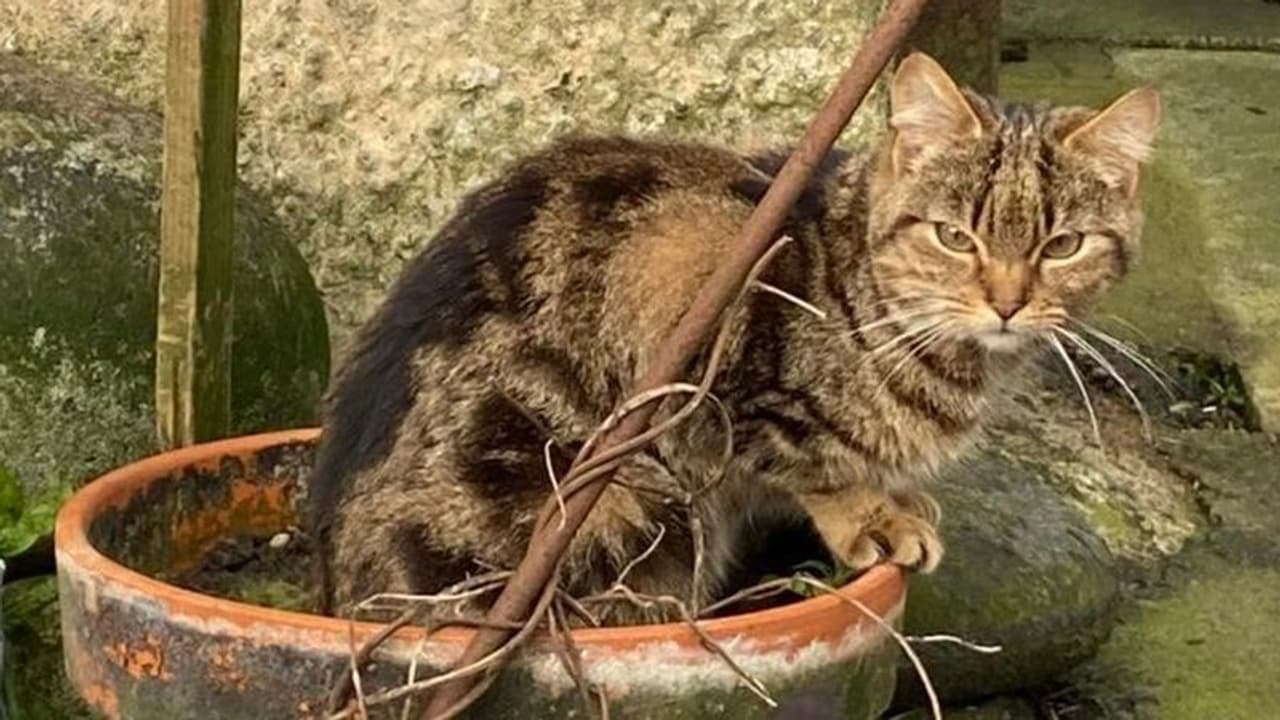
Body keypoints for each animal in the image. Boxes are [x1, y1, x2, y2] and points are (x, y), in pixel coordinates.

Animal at [308, 52, 1160, 622]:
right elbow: (814, 459)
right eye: (956, 237)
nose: (1008, 303)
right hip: (625, 504)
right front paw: (876, 517)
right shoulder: (724, 372)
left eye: (1062, 246)